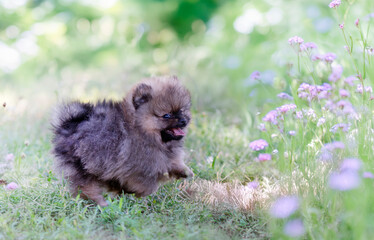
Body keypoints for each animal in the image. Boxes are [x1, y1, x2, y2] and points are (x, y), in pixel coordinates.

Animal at [51, 76, 193, 205]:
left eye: (182, 110)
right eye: (166, 115)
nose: (183, 120)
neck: (139, 128)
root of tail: (69, 125)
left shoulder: (162, 158)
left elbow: (173, 164)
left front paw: (186, 171)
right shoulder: (138, 168)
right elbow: (148, 186)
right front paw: (135, 192)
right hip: (81, 167)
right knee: (86, 189)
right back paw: (101, 203)